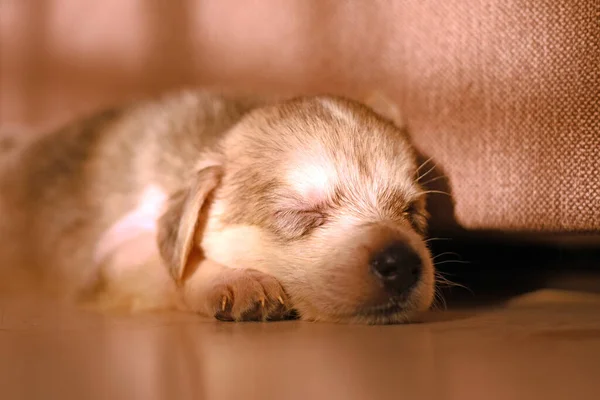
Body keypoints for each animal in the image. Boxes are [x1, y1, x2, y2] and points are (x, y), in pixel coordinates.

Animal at [0, 90, 434, 322]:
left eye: (412, 212)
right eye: (301, 214)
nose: (402, 263)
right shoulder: (113, 254)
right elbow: (170, 268)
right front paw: (238, 280)